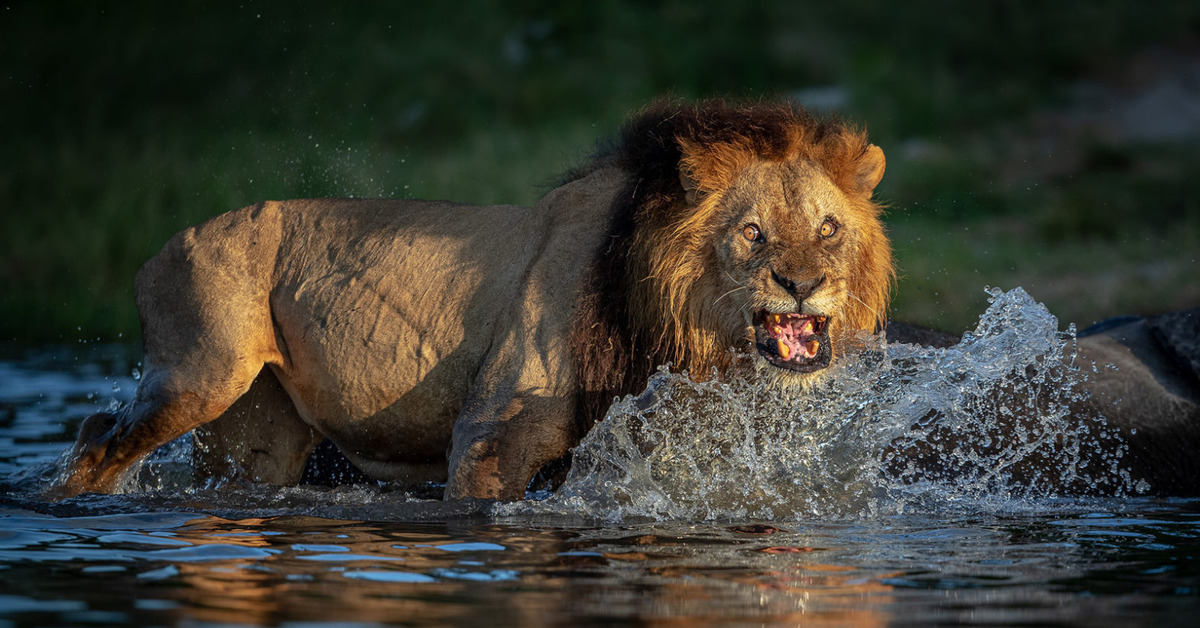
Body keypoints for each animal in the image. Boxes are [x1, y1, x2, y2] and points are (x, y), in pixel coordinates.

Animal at [56, 99, 897, 501]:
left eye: (827, 228)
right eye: (752, 233)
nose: (802, 283)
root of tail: (163, 246)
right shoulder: (496, 423)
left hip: (256, 437)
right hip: (201, 373)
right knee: (98, 434)